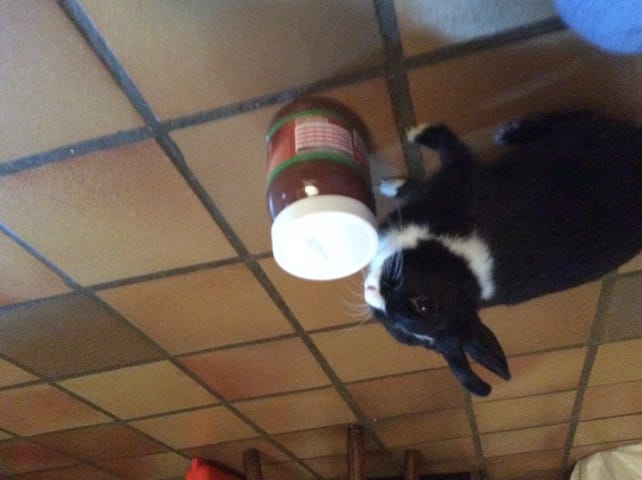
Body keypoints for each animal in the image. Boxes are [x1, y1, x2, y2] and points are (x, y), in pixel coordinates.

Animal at [364, 111, 642, 396]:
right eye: (390, 323)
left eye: (424, 305)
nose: (373, 296)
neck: (461, 270)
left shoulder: (456, 177)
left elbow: (447, 148)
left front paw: (417, 135)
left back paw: (510, 132)